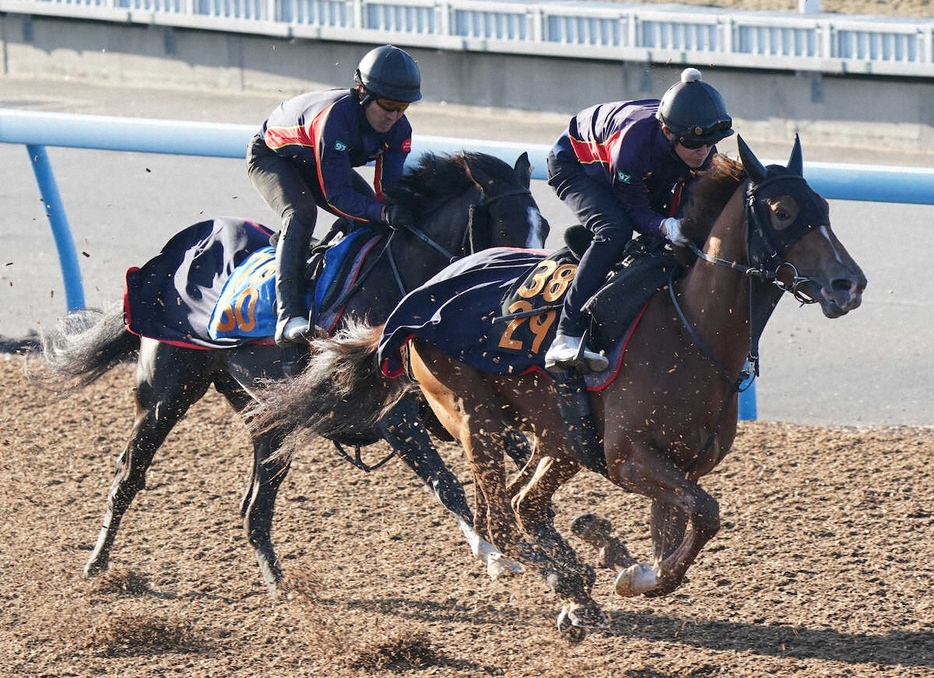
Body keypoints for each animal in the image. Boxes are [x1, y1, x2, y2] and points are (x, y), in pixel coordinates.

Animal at [40, 150, 548, 596]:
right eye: (505, 226)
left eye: (543, 227)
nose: (528, 298)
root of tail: (163, 266)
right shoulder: (395, 417)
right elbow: (446, 484)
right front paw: (495, 555)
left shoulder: (446, 406)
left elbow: (520, 454)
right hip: (167, 394)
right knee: (130, 473)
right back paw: (98, 565)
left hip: (271, 416)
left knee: (255, 508)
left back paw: (279, 583)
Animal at [264, 137, 872, 636]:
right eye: (783, 211)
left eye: (824, 209)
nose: (850, 284)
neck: (690, 327)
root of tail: (412, 303)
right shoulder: (630, 458)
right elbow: (705, 516)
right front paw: (626, 572)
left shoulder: (678, 466)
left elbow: (679, 535)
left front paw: (621, 560)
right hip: (474, 417)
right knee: (498, 519)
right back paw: (570, 583)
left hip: (558, 439)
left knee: (522, 504)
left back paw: (576, 584)